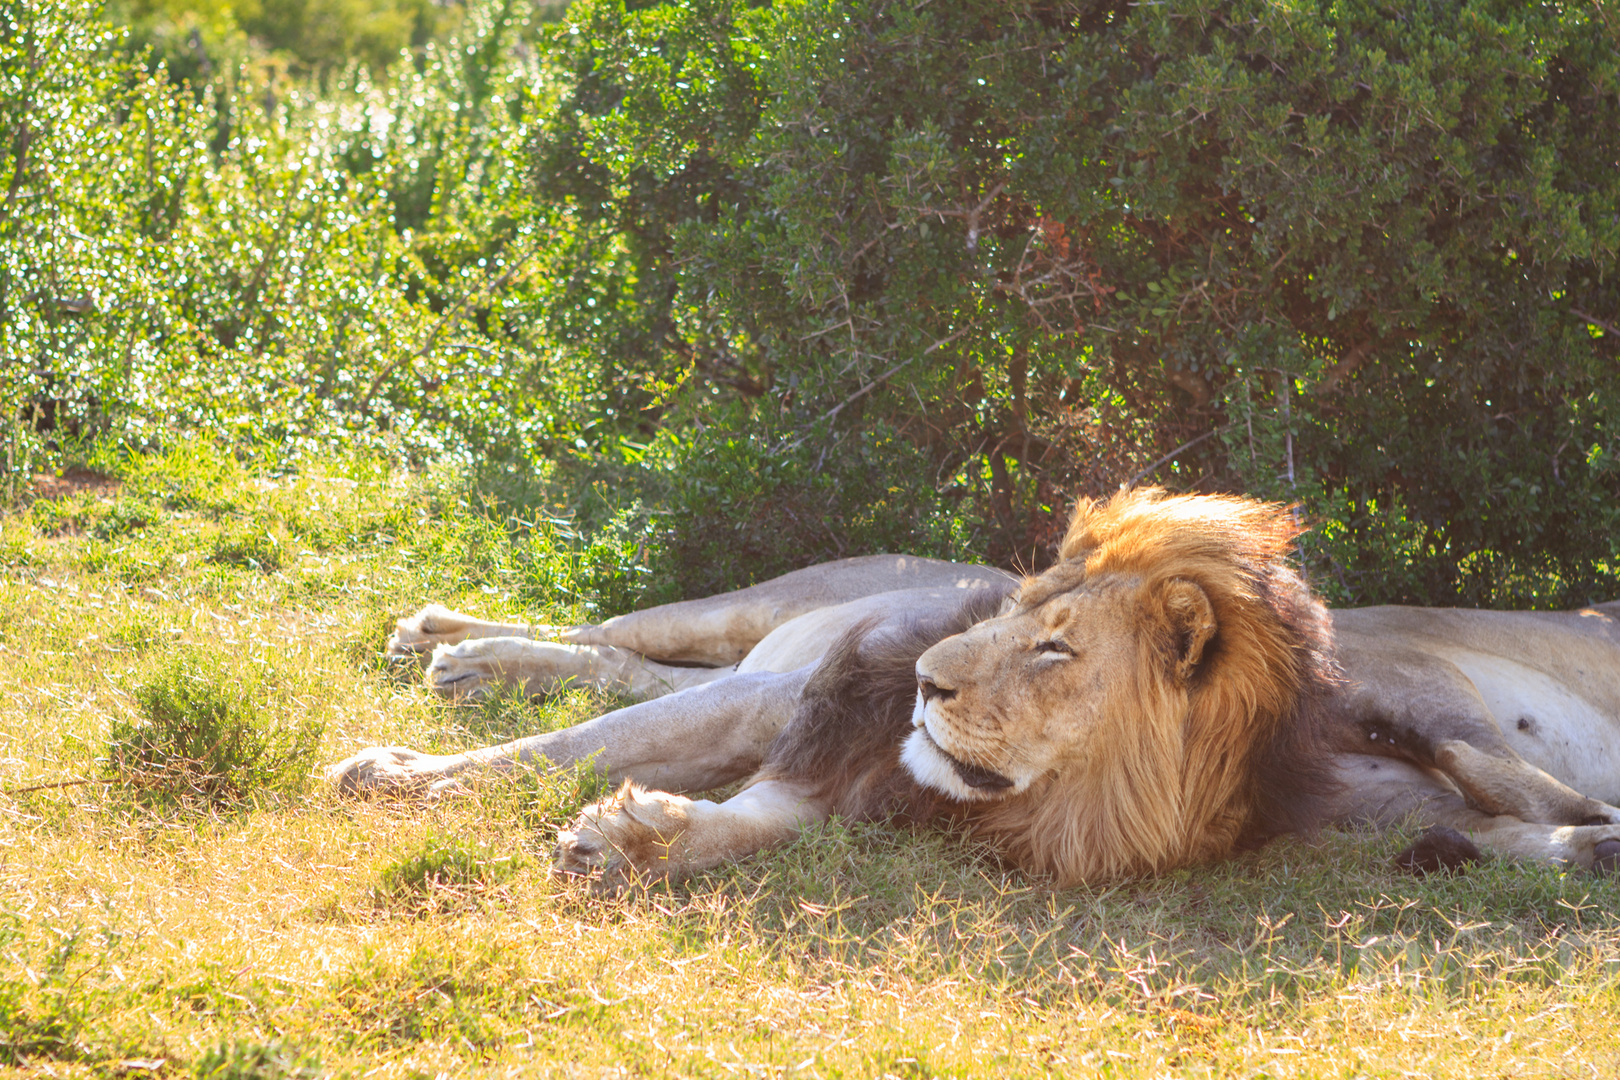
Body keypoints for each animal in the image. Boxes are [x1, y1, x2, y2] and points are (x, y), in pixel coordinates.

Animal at [328, 488, 1620, 887]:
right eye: (1017, 620)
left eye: (1058, 651)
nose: (930, 689)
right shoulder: (802, 700)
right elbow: (562, 749)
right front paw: (396, 771)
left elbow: (729, 802)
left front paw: (636, 837)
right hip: (755, 614)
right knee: (612, 633)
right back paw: (446, 639)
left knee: (615, 662)